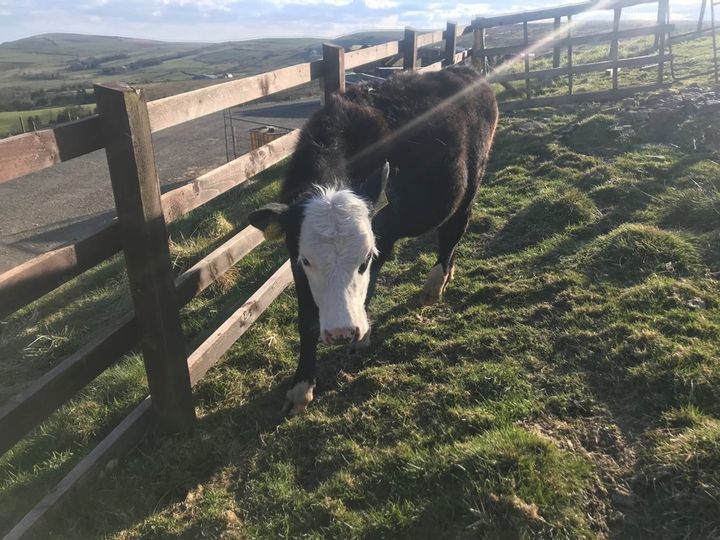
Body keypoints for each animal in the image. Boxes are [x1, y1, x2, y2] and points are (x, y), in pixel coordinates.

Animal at [249, 65, 498, 416]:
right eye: (307, 260)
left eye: (363, 259)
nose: (341, 333)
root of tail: (464, 69)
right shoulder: (294, 256)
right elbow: (307, 319)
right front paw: (301, 387)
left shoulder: (389, 224)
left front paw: (361, 334)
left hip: (472, 179)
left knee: (454, 229)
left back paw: (436, 283)